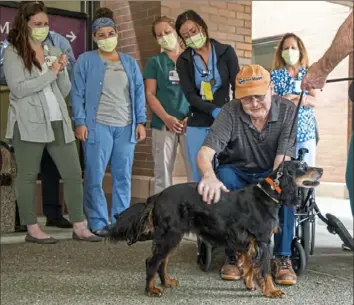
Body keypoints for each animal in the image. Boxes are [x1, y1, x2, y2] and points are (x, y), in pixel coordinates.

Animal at [108, 160, 324, 298]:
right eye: (302, 167)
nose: (321, 169)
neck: (269, 194)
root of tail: (158, 195)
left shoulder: (248, 242)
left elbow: (248, 265)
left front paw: (249, 285)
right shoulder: (263, 241)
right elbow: (264, 270)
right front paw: (271, 291)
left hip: (173, 236)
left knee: (163, 261)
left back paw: (167, 282)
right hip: (170, 235)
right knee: (152, 261)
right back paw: (151, 290)